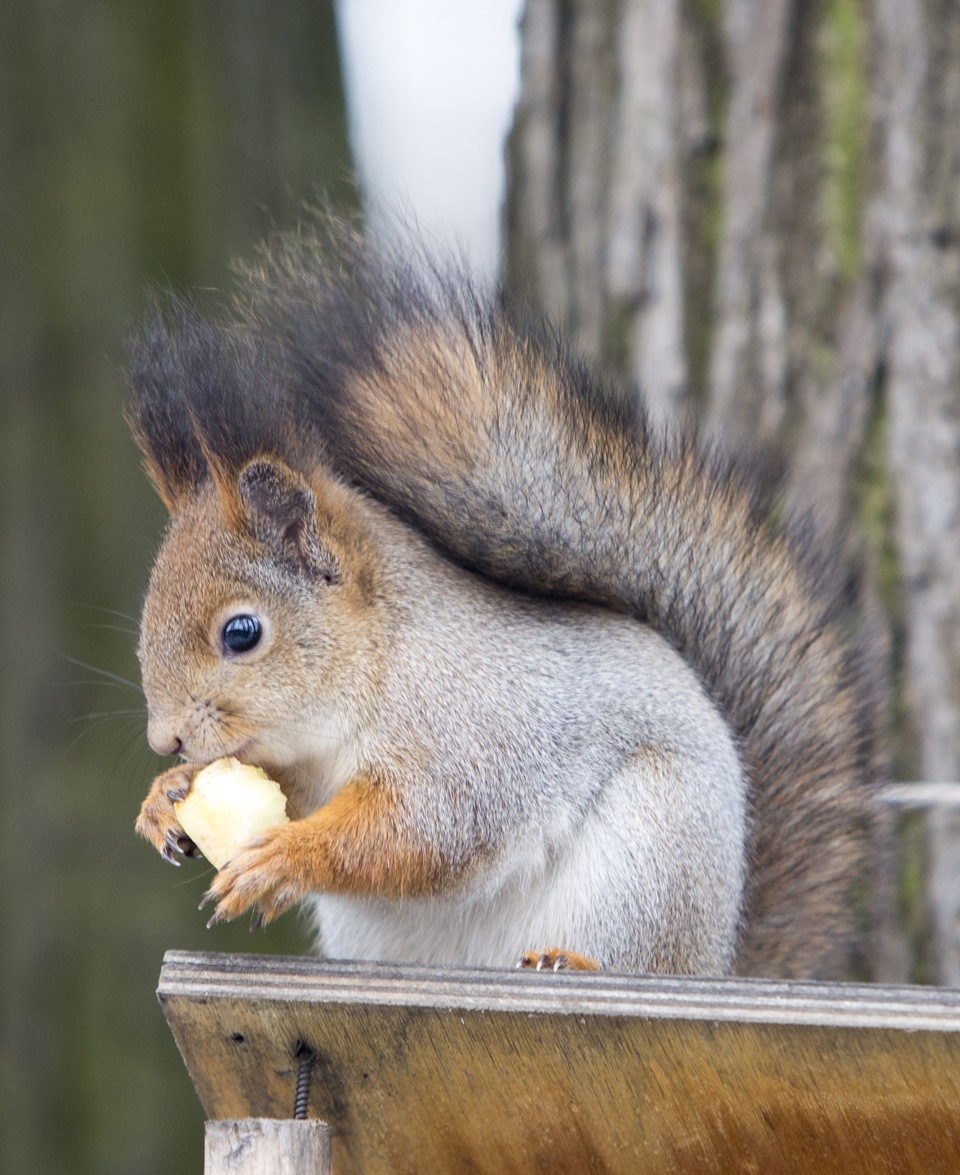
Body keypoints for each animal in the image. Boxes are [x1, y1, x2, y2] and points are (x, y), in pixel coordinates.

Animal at [129, 216, 883, 977]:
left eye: (242, 633)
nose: (165, 740)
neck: (375, 666)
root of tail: (717, 960)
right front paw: (165, 799)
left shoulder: (476, 732)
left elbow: (426, 828)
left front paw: (287, 856)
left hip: (648, 864)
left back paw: (569, 962)